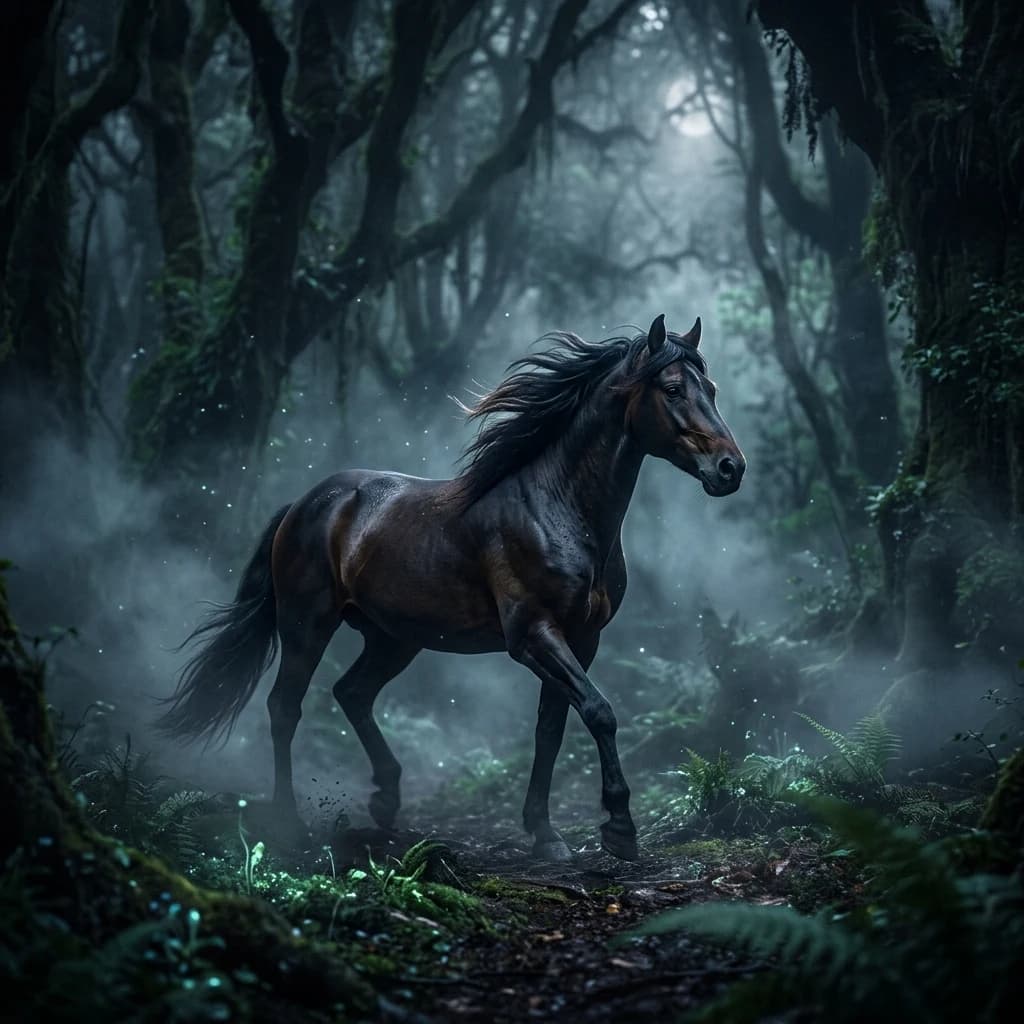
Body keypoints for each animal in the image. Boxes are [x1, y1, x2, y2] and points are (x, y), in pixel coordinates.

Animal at [159, 314, 745, 861]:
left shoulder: (582, 639)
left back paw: (386, 798)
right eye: (672, 389)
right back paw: (289, 824)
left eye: (711, 390)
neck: (557, 507)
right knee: (285, 707)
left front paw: (545, 833)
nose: (730, 468)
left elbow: (552, 728)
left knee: (352, 693)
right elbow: (600, 712)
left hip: (394, 638)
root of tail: (305, 503)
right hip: (308, 625)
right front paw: (620, 828)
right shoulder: (533, 635)